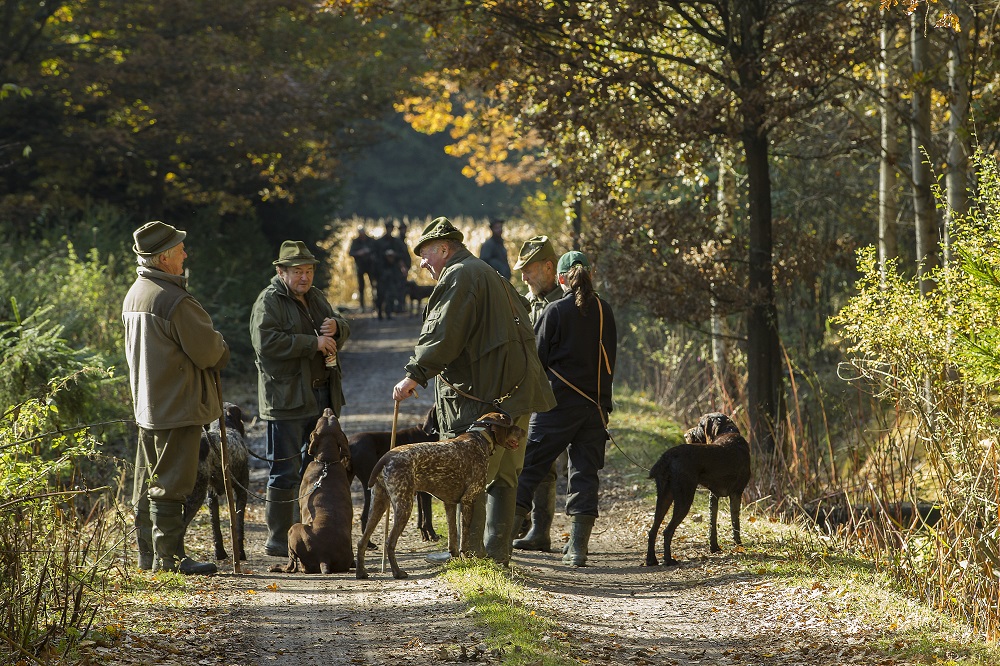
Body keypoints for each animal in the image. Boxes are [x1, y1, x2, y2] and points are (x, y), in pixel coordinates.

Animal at [270, 408, 356, 572]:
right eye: (331, 418)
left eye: (319, 420)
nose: (327, 409)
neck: (326, 462)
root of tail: (325, 557)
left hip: (293, 529)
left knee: (292, 564)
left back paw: (276, 567)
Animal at [348, 404, 438, 544]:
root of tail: (350, 444)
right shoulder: (425, 491)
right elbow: (428, 513)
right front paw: (432, 534)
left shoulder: (419, 489)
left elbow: (420, 513)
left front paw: (424, 534)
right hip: (370, 484)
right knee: (365, 515)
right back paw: (369, 544)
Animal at [356, 412, 524, 580]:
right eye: (511, 424)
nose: (522, 431)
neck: (479, 437)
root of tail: (386, 458)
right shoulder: (468, 500)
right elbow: (465, 538)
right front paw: (467, 560)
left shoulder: (450, 504)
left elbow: (453, 537)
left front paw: (455, 560)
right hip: (404, 506)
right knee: (389, 542)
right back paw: (397, 573)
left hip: (379, 504)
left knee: (361, 541)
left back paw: (361, 572)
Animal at [644, 412, 752, 564]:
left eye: (700, 425)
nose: (686, 435)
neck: (728, 431)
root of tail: (668, 455)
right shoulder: (736, 493)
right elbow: (735, 523)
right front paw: (739, 546)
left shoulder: (713, 495)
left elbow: (713, 524)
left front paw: (714, 547)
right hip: (684, 497)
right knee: (667, 531)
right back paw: (668, 560)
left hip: (664, 496)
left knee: (653, 530)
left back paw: (651, 560)